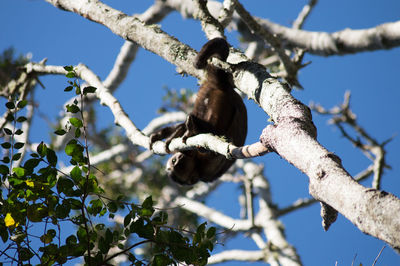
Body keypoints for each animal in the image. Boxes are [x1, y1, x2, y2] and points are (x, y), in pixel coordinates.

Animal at [150, 38, 247, 185]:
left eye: (176, 163)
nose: (176, 160)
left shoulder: (206, 165)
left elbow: (212, 153)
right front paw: (160, 134)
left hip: (218, 101)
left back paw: (192, 129)